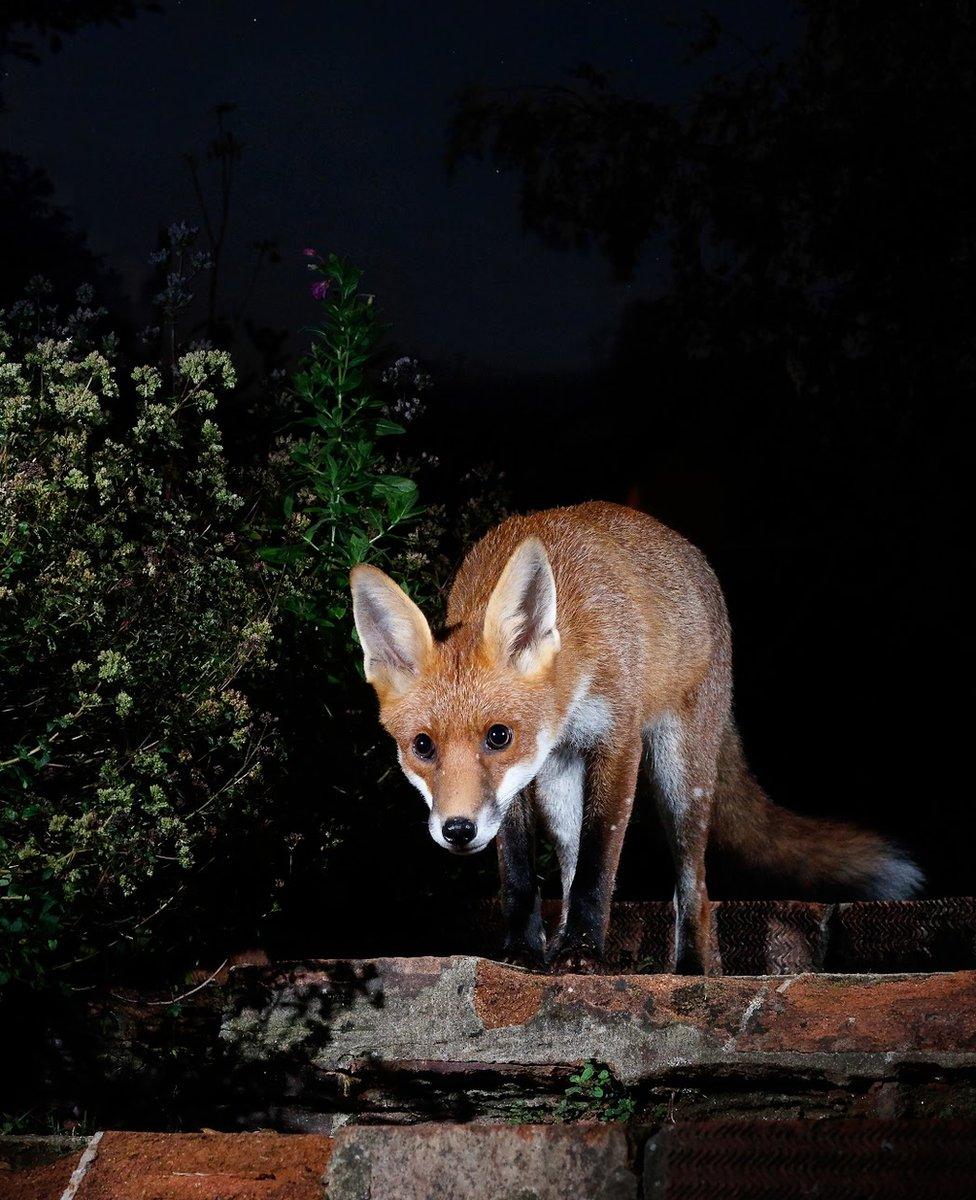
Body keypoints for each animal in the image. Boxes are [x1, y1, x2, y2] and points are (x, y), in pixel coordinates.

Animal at [350, 499, 921, 974]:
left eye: (498, 736)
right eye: (423, 746)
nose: (458, 830)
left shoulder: (618, 741)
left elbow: (599, 864)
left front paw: (583, 952)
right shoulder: (524, 780)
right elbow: (520, 873)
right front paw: (523, 953)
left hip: (680, 777)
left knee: (694, 889)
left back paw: (691, 968)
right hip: (560, 787)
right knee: (569, 862)